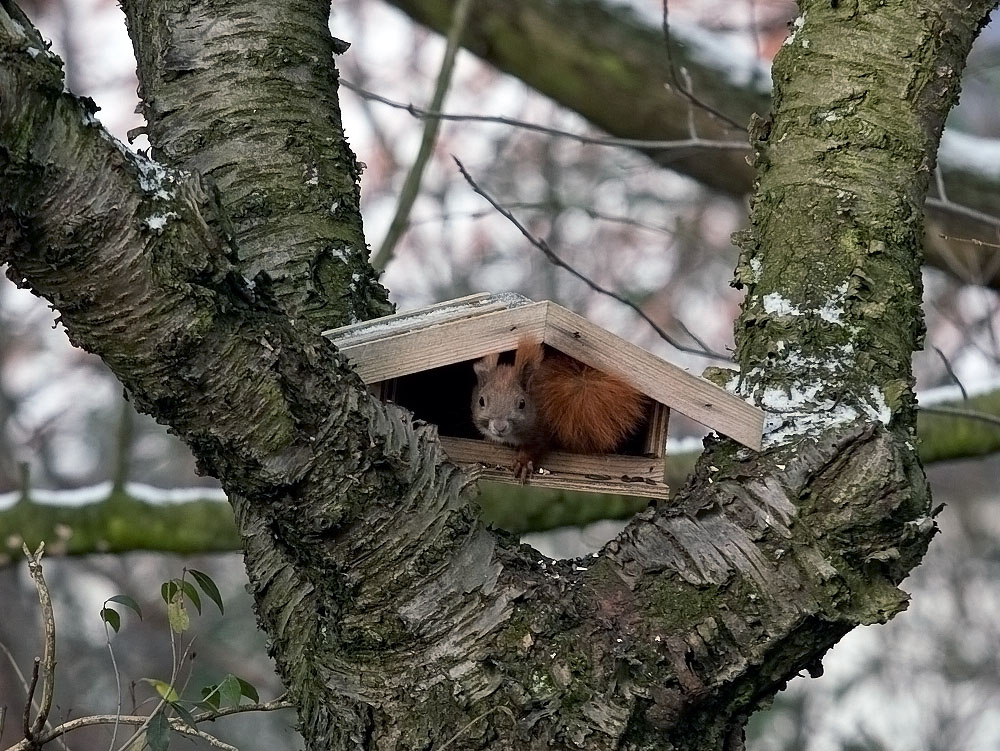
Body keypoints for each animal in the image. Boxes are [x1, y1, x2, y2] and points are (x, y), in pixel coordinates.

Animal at [470, 338, 644, 478]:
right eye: (481, 401)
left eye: (522, 403)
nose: (500, 427)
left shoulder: (543, 429)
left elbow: (535, 447)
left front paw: (523, 463)